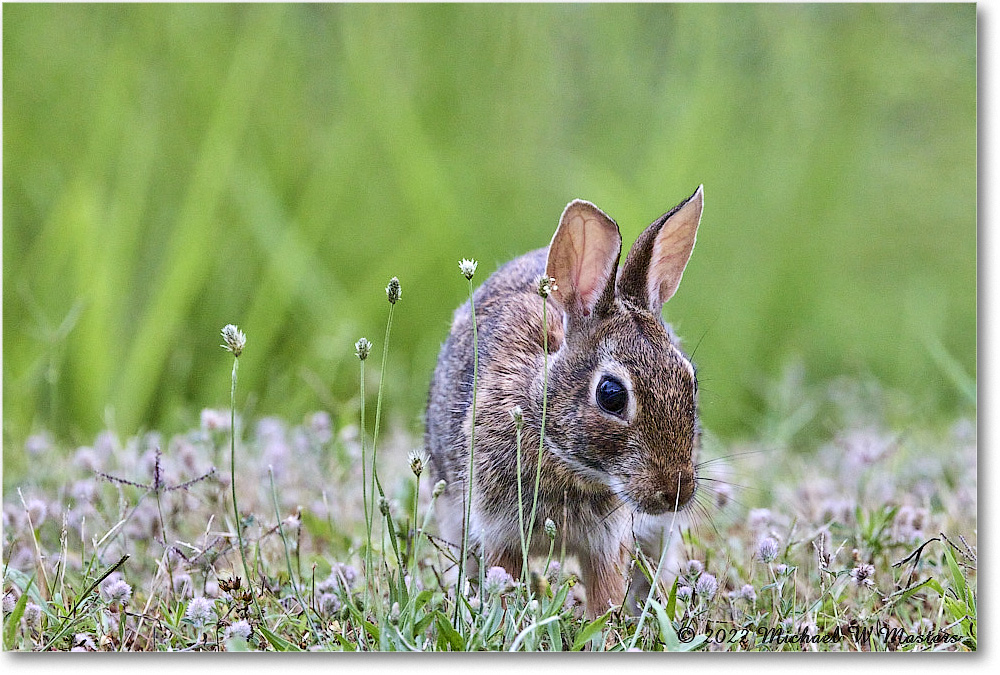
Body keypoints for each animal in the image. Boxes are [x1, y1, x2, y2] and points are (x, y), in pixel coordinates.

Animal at [424, 185, 704, 616]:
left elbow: (605, 591)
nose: (675, 493)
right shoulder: (498, 529)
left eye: (691, 382)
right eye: (611, 395)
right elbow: (503, 578)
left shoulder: (607, 540)